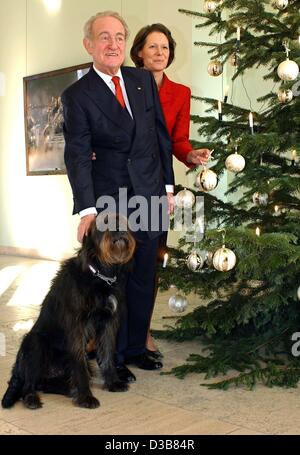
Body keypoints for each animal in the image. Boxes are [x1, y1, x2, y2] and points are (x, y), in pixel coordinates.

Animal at [1, 216, 135, 412]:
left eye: (123, 221)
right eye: (103, 222)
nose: (118, 229)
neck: (100, 274)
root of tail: (17, 368)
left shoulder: (108, 324)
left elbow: (108, 354)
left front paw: (112, 382)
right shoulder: (77, 327)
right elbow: (79, 366)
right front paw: (86, 397)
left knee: (45, 384)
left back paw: (69, 389)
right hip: (35, 343)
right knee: (29, 384)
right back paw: (32, 398)